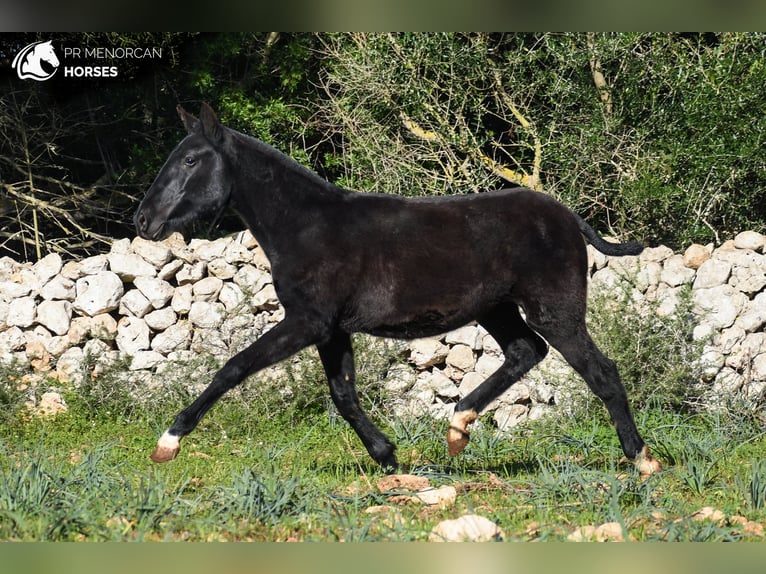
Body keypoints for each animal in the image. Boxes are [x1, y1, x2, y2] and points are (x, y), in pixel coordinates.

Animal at [135, 104, 664, 482]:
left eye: (189, 159)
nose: (143, 220)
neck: (305, 225)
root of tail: (570, 217)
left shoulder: (307, 322)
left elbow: (234, 367)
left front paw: (168, 442)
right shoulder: (331, 329)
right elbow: (344, 394)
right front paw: (388, 457)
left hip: (555, 310)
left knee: (600, 371)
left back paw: (642, 460)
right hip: (498, 309)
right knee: (524, 352)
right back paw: (457, 429)